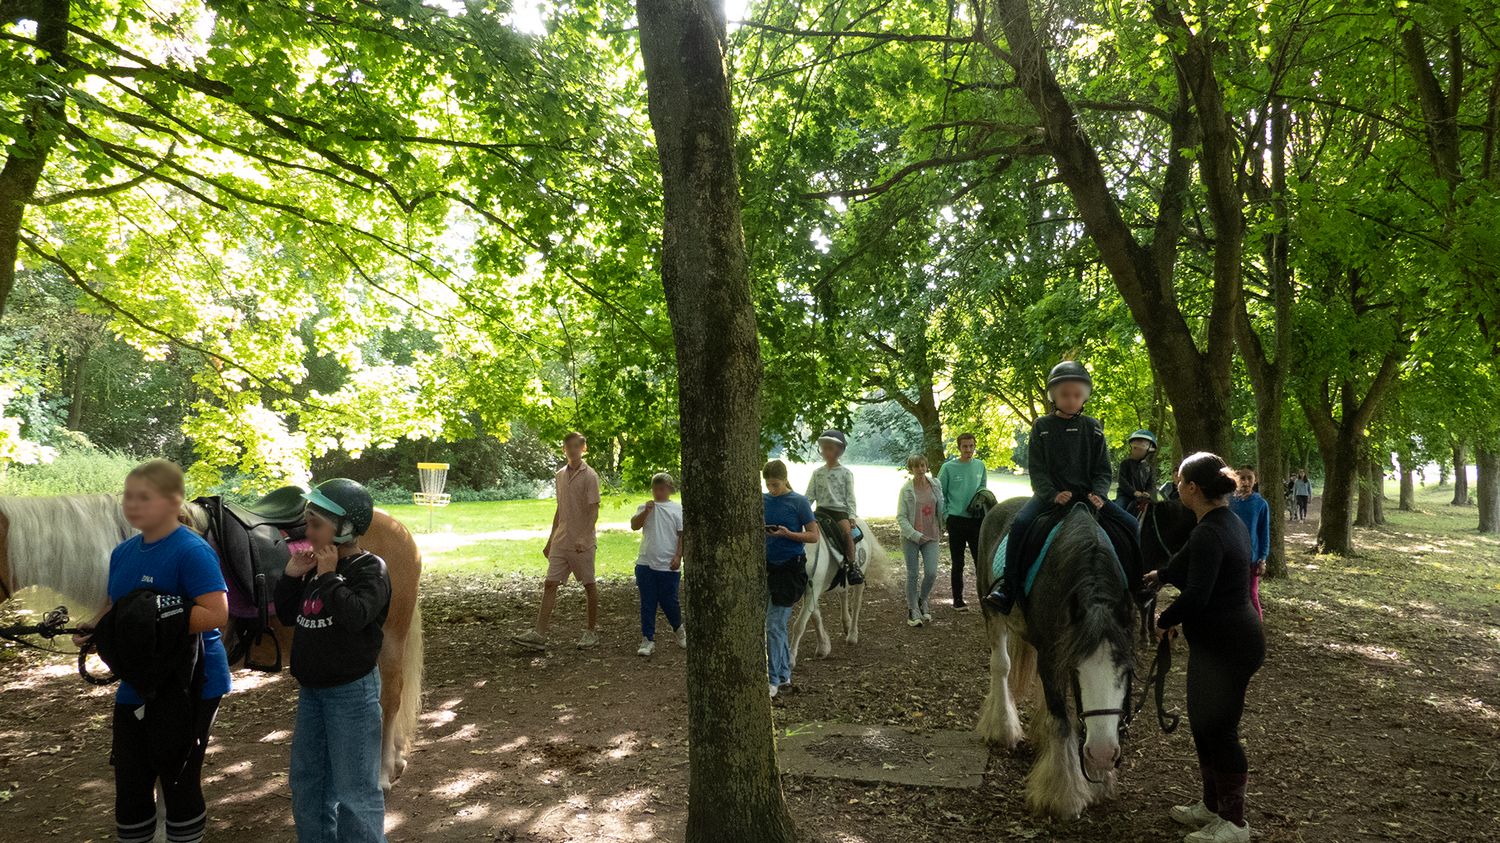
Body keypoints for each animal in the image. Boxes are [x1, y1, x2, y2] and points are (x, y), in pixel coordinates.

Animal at [788, 515, 886, 667]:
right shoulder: (811, 590)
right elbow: (815, 616)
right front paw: (823, 647)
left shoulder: (813, 587)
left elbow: (800, 625)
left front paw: (791, 658)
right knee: (843, 595)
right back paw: (846, 624)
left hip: (860, 579)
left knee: (856, 604)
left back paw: (852, 635)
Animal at [974, 497, 1138, 819]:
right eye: (1077, 670)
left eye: (1126, 670)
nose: (1102, 754)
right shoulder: (1054, 658)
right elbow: (1062, 721)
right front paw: (1064, 794)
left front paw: (1099, 781)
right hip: (992, 614)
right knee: (1001, 667)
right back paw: (1002, 728)